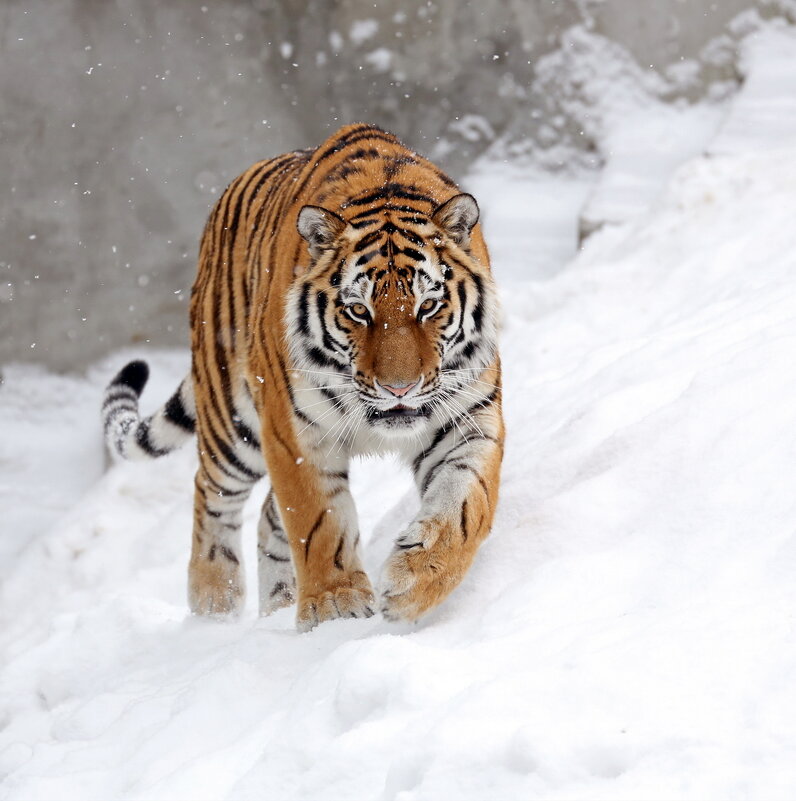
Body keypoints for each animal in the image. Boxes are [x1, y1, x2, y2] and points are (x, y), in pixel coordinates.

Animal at [102, 122, 504, 632]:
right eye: (358, 311)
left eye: (428, 306)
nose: (400, 389)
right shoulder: (294, 434)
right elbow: (318, 520)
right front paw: (336, 605)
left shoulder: (468, 418)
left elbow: (466, 505)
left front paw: (416, 582)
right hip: (233, 423)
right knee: (212, 494)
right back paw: (214, 605)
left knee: (266, 515)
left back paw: (276, 603)